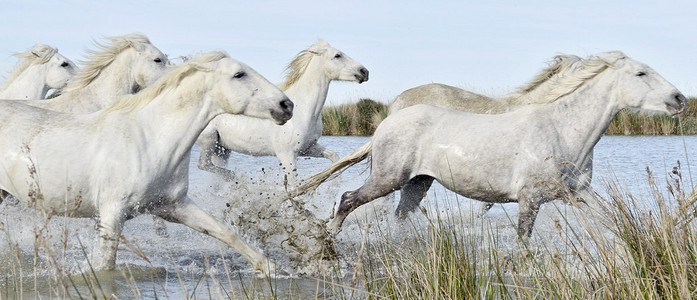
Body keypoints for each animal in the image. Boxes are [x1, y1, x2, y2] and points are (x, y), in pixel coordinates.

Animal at [0, 51, 294, 274]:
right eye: (239, 74)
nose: (287, 105)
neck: (150, 138)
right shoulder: (112, 214)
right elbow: (106, 265)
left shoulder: (173, 206)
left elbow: (225, 233)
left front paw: (273, 269)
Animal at [194, 40, 368, 185]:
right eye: (337, 55)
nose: (364, 72)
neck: (304, 110)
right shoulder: (287, 155)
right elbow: (293, 186)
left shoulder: (308, 148)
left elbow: (334, 157)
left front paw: (335, 184)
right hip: (209, 141)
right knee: (203, 164)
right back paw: (236, 177)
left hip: (222, 150)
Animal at [294, 52, 684, 239]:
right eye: (641, 74)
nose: (679, 99)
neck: (562, 130)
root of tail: (386, 123)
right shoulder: (530, 199)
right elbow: (523, 241)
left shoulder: (577, 194)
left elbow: (613, 220)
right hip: (388, 179)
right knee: (348, 200)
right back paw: (329, 239)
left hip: (417, 183)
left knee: (400, 216)